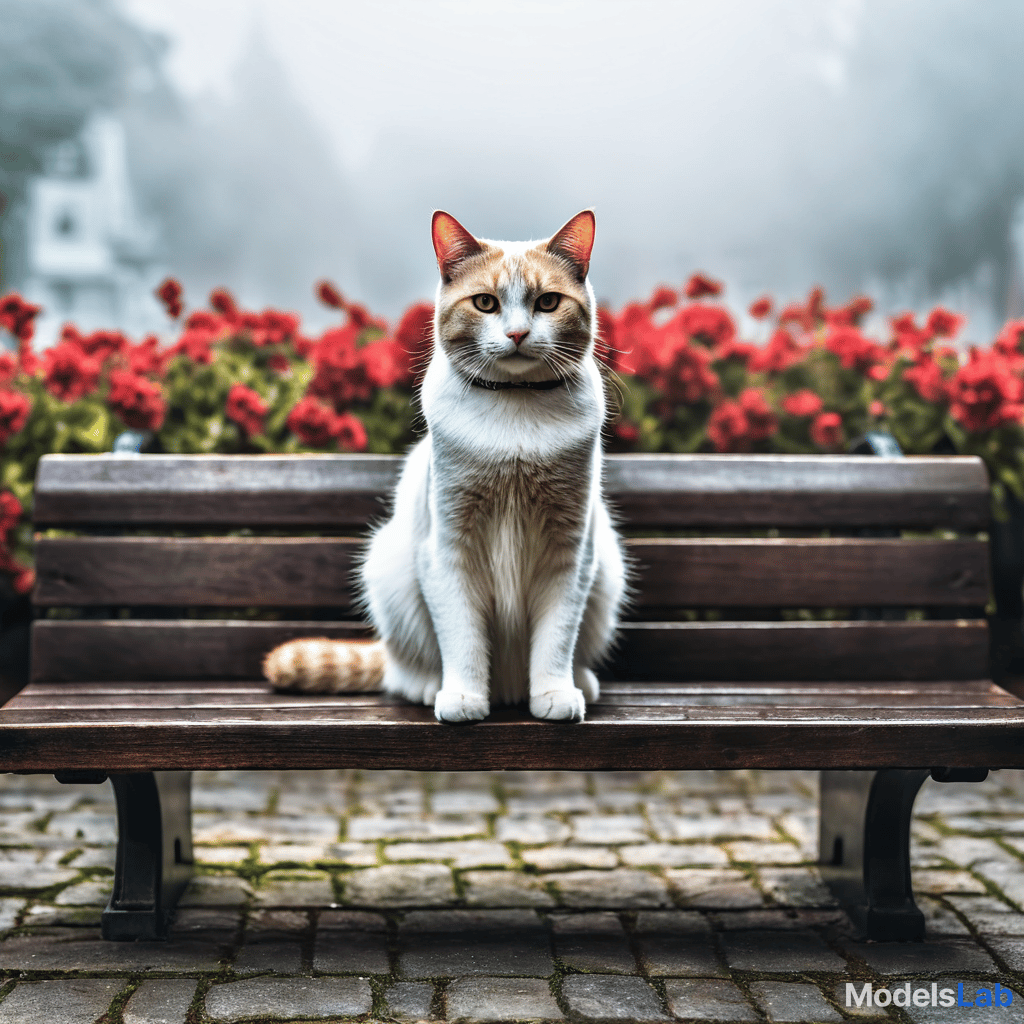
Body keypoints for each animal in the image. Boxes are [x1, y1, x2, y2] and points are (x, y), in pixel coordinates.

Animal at [264, 209, 626, 720]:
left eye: (548, 303)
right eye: (486, 303)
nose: (517, 334)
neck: (515, 409)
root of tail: (509, 688)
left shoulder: (571, 552)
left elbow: (556, 637)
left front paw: (554, 693)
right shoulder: (449, 548)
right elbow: (462, 637)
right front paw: (463, 698)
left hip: (608, 570)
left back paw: (580, 683)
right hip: (390, 567)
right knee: (403, 668)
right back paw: (428, 685)